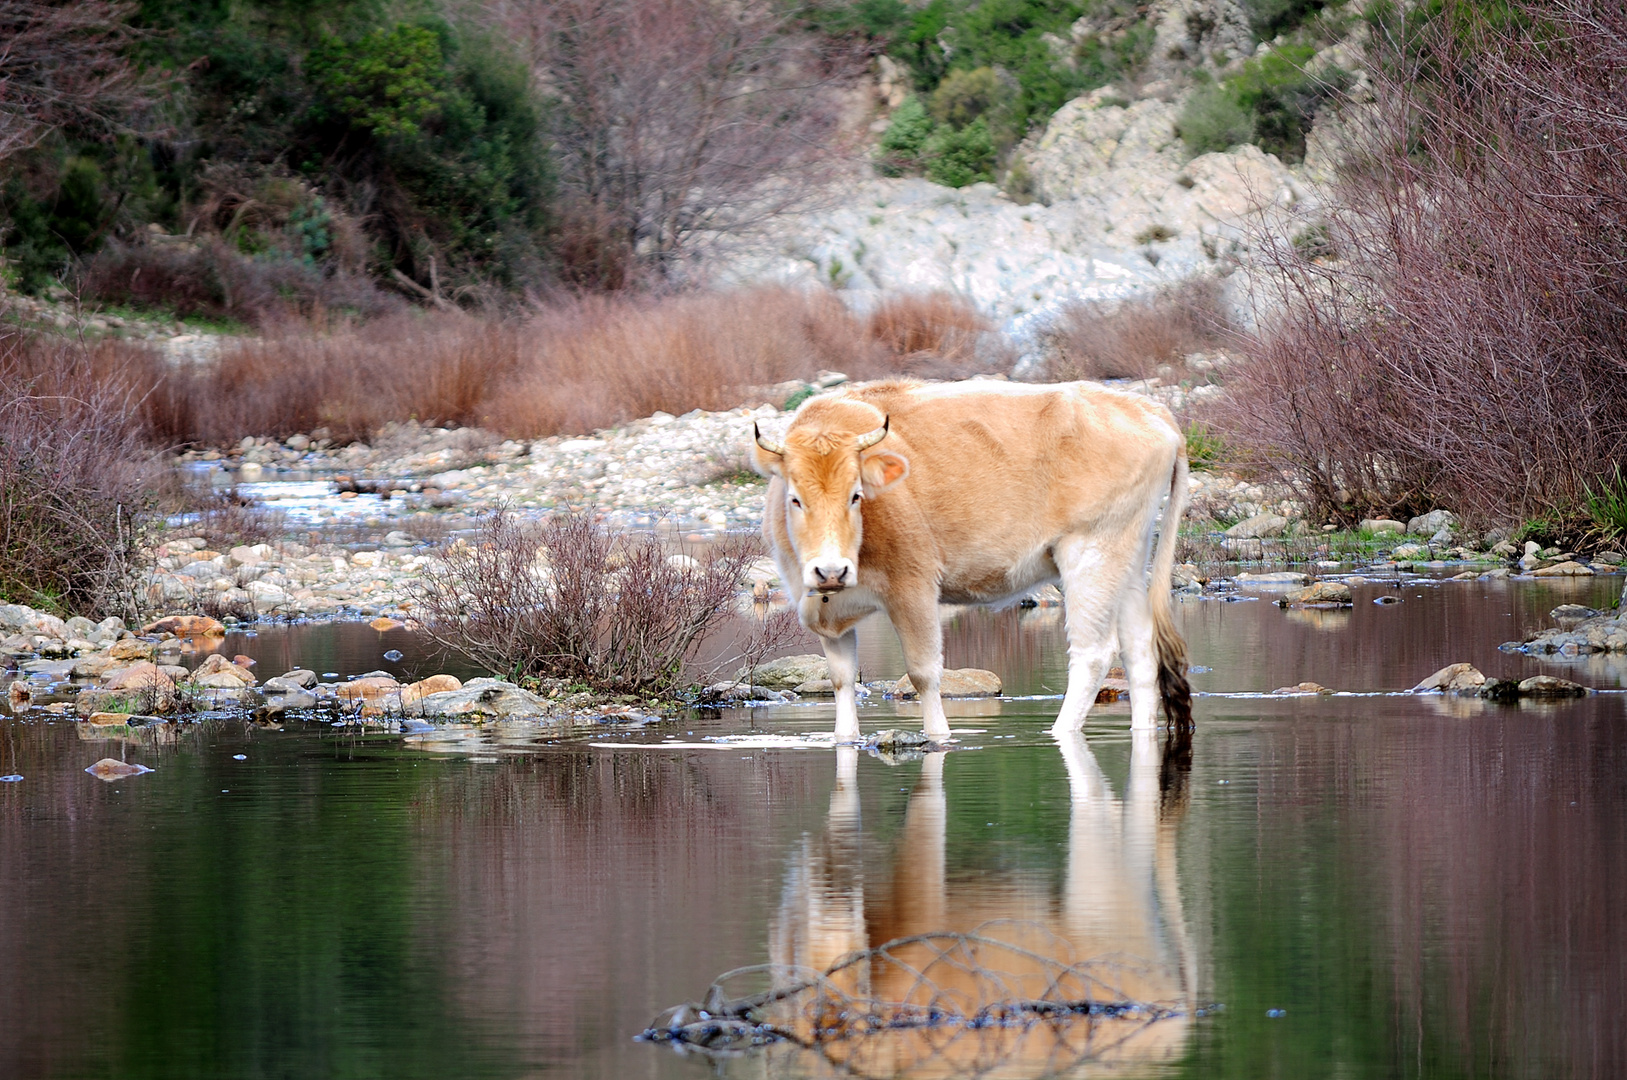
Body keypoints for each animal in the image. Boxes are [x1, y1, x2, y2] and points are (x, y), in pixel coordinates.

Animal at [751, 378, 1197, 741]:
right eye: (795, 498)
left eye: (855, 495)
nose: (831, 570)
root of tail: (1147, 409)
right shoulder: (828, 613)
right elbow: (842, 683)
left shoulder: (913, 589)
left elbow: (924, 673)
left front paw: (940, 737)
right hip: (1129, 558)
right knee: (1140, 651)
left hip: (1092, 553)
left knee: (1094, 653)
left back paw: (1059, 731)